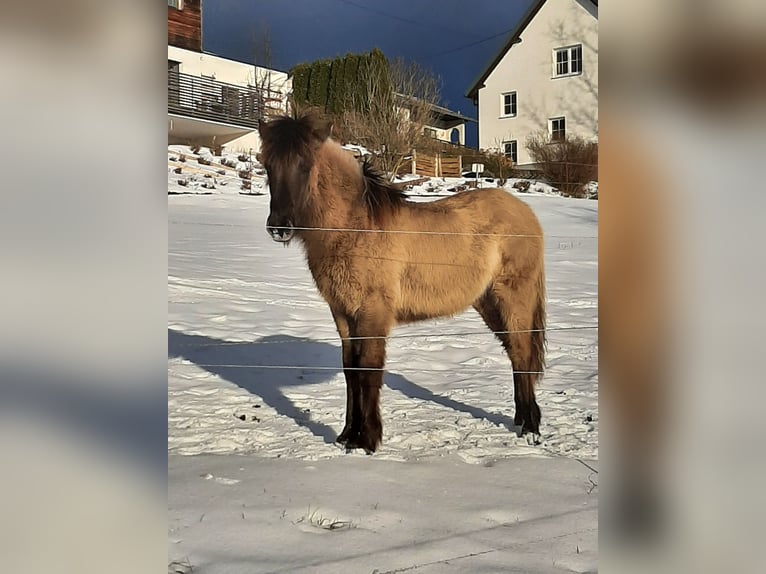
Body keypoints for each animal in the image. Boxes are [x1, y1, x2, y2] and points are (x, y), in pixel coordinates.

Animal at [260, 113, 548, 454]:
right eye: (267, 165)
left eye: (305, 165)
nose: (279, 227)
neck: (355, 228)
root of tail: (526, 213)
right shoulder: (343, 314)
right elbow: (350, 369)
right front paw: (347, 436)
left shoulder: (372, 313)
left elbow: (368, 369)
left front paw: (367, 440)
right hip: (488, 303)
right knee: (516, 355)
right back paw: (521, 420)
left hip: (513, 298)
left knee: (522, 353)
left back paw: (531, 429)